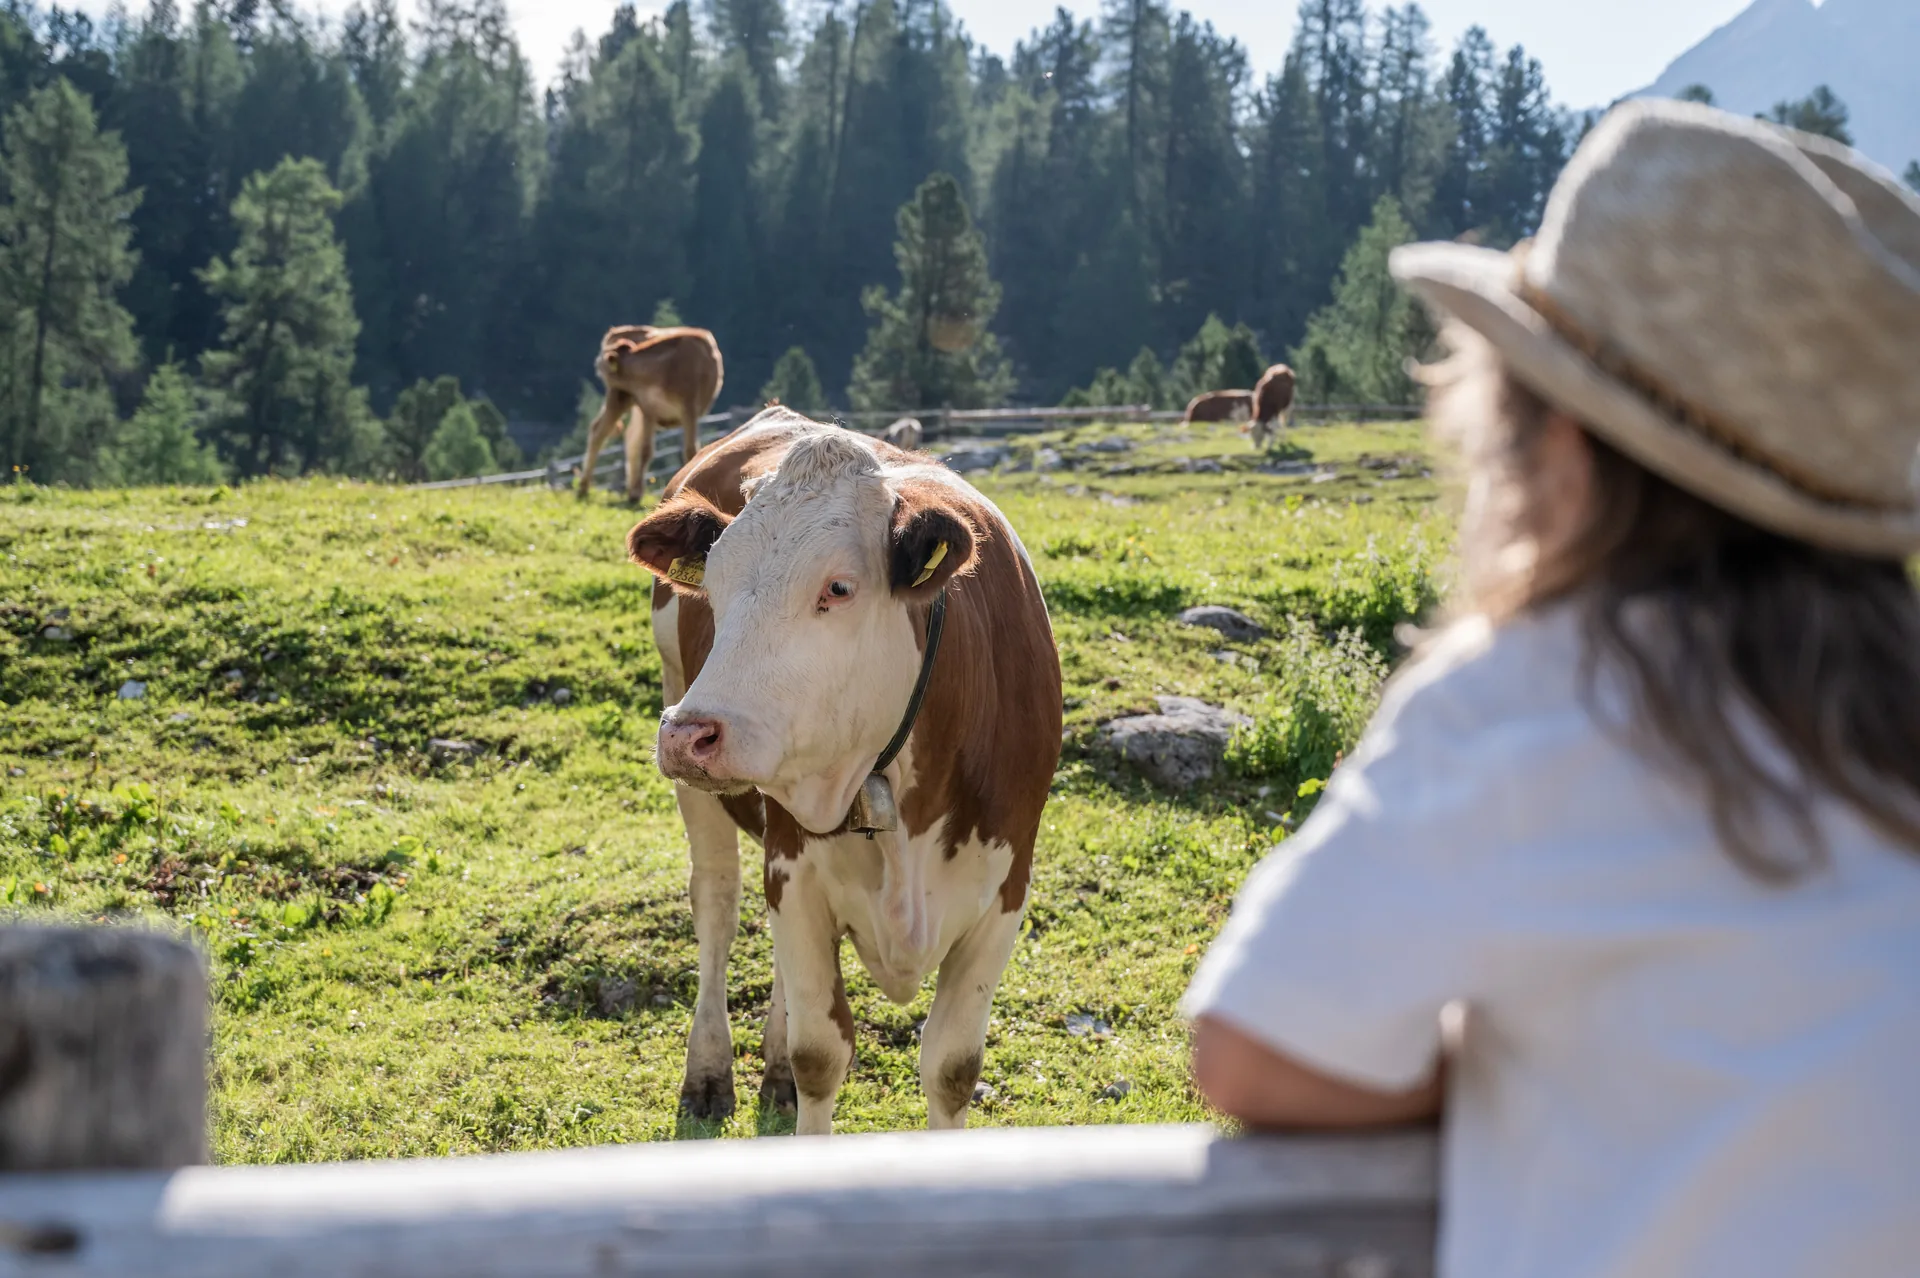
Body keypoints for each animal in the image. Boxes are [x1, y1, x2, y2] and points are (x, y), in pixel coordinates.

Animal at [579, 326, 724, 502]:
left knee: (626, 436)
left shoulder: (689, 409)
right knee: (600, 432)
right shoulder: (648, 409)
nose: (597, 364)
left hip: (626, 400)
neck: (662, 369)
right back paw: (584, 487)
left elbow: (690, 450)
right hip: (620, 397)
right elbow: (646, 450)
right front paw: (636, 493)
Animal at [626, 408, 1063, 1136]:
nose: (688, 734)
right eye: (711, 586)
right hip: (698, 777)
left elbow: (953, 1068)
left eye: (838, 587)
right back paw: (709, 1070)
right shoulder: (795, 870)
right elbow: (821, 1055)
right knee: (717, 904)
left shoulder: (1006, 888)